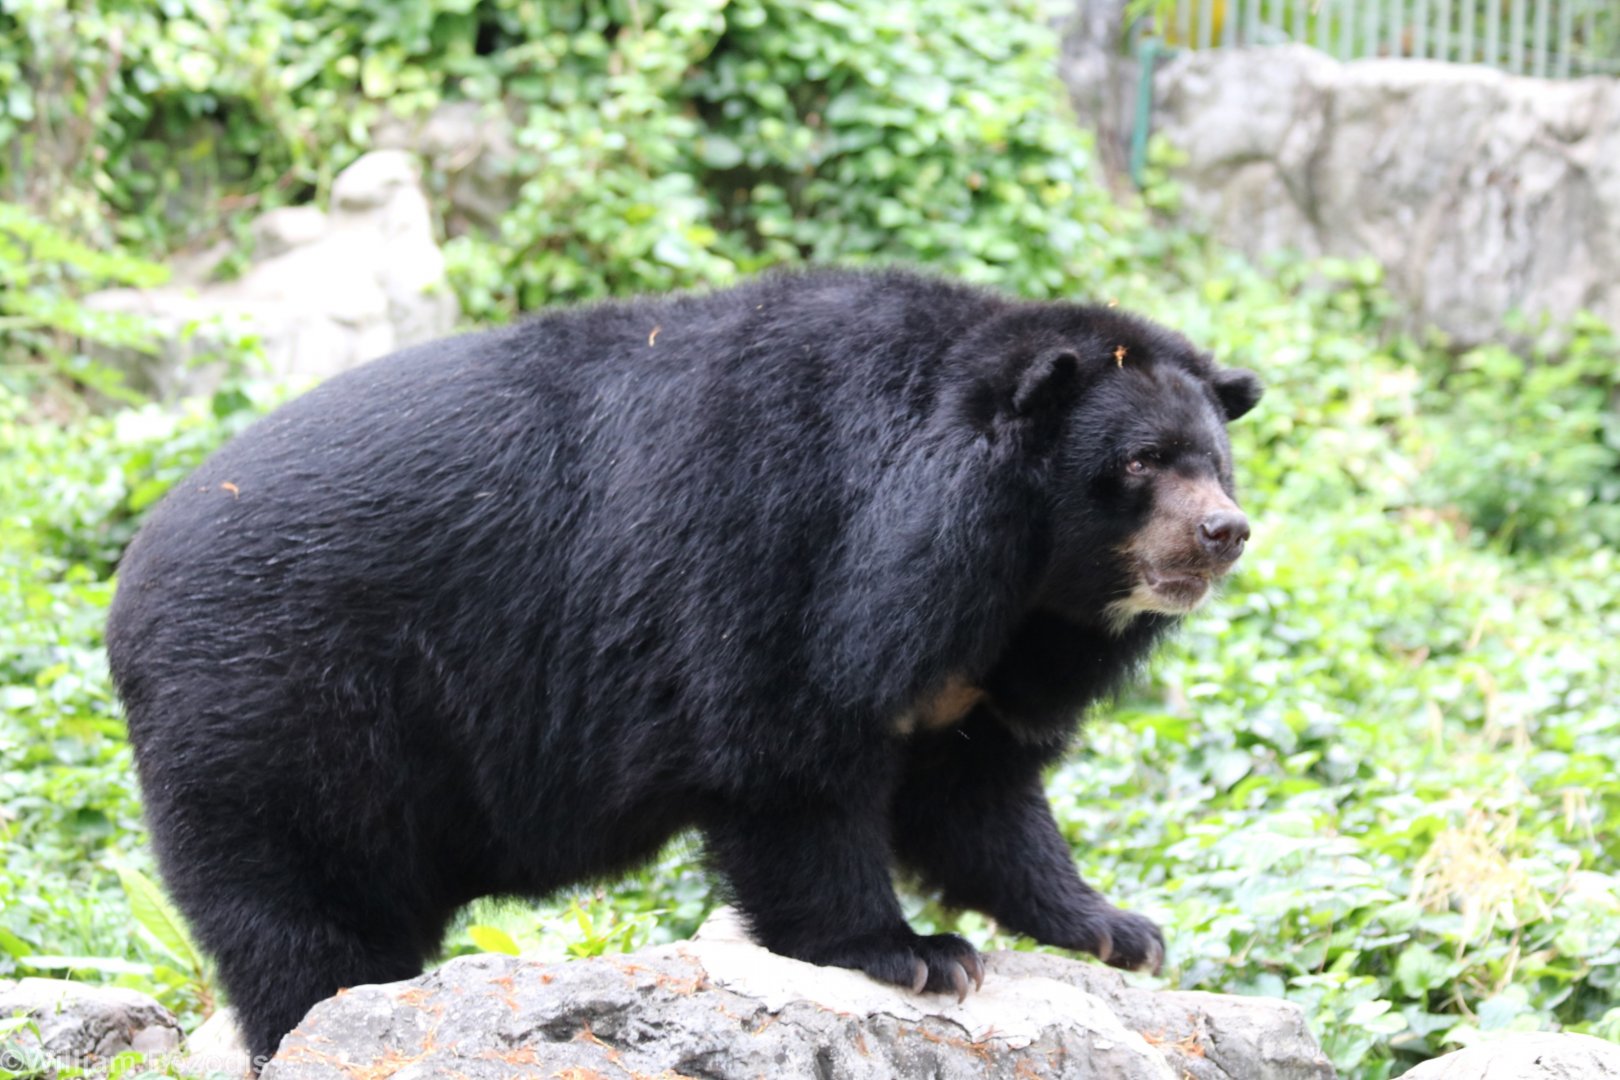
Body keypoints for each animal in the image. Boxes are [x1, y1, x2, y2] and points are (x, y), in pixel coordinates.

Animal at [105, 267, 1261, 1068]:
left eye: (1214, 460)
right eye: (1140, 463)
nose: (1225, 533)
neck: (1003, 570)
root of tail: (125, 594)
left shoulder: (979, 665)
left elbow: (978, 796)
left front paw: (1119, 931)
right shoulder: (784, 557)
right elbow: (788, 761)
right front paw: (912, 952)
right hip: (282, 707)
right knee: (307, 911)